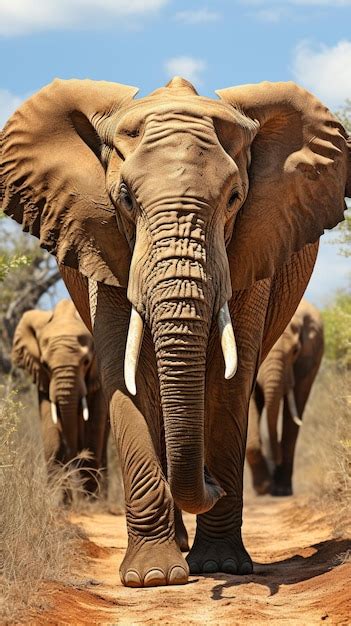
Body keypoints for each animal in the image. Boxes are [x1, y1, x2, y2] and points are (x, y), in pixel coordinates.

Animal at [12, 298, 108, 492]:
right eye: (45, 365)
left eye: (86, 362)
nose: (73, 459)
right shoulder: (44, 383)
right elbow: (53, 440)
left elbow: (93, 438)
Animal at [248, 294, 324, 494]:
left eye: (295, 351)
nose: (275, 461)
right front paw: (263, 489)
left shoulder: (308, 359)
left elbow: (294, 411)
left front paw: (280, 489)